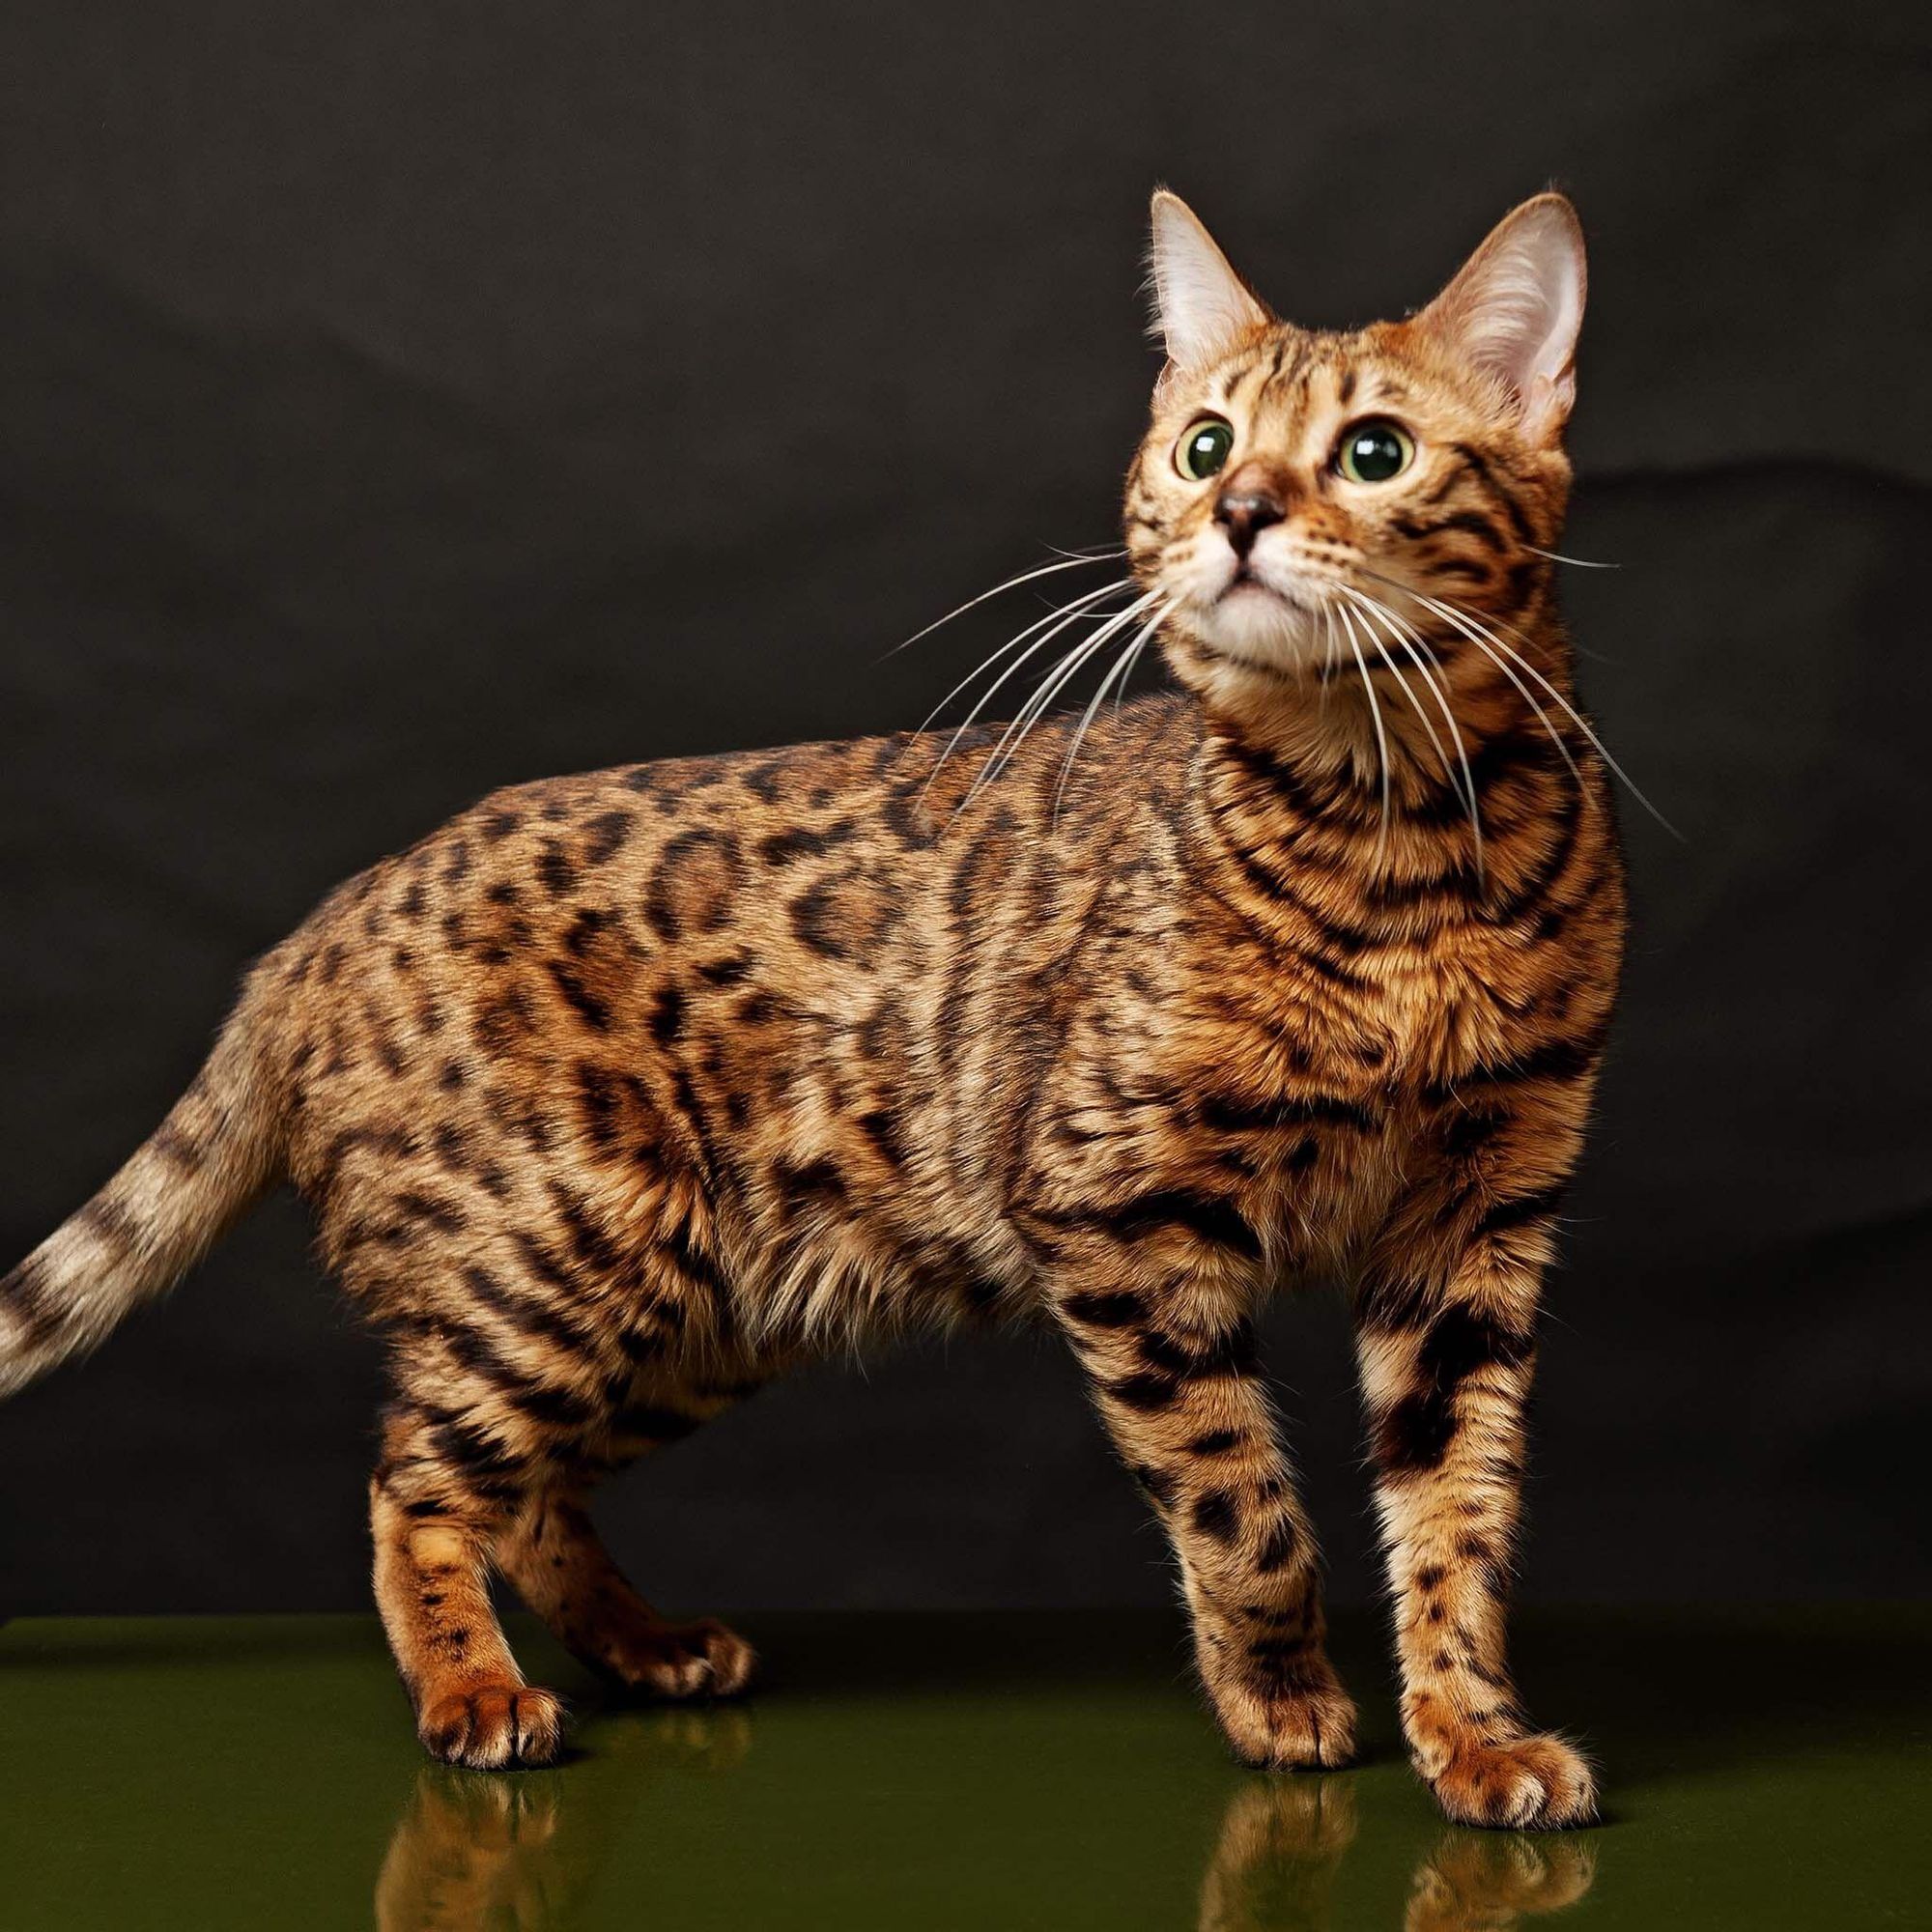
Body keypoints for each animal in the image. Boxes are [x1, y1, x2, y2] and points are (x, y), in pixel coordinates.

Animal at [0, 188, 1623, 1832]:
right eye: (1206, 444)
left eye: (1375, 451)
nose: (1236, 511)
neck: (1399, 846)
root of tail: (316, 927)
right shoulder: (1114, 1211)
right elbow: (1243, 1505)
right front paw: (1282, 1698)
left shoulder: (1479, 1221)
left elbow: (1459, 1510)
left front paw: (1473, 1731)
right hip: (562, 1251)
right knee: (417, 1479)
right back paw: (475, 1692)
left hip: (704, 1299)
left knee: (526, 1490)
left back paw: (646, 1645)